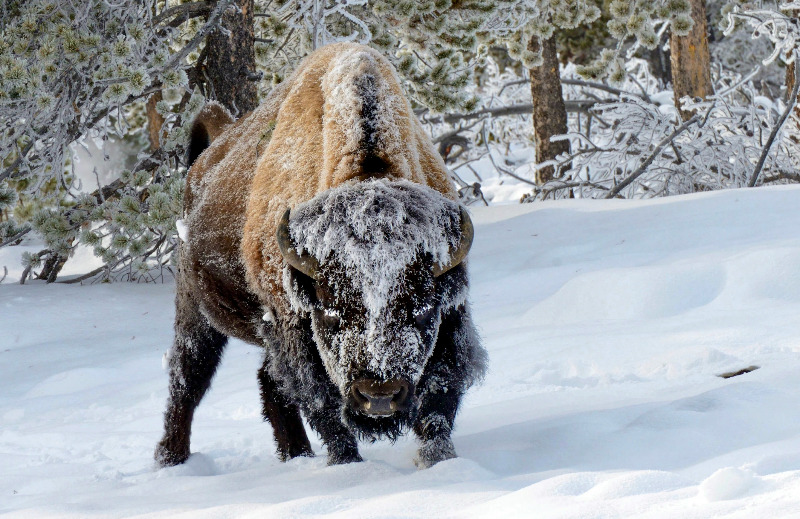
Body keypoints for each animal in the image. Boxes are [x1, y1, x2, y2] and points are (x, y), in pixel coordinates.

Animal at [155, 42, 486, 469]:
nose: (379, 396)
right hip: (195, 312)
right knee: (188, 379)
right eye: (330, 310)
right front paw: (347, 466)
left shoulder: (451, 316)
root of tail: (204, 160)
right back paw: (171, 460)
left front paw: (441, 462)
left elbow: (439, 401)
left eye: (424, 308)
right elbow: (323, 406)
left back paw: (296, 454)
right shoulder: (292, 328)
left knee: (268, 384)